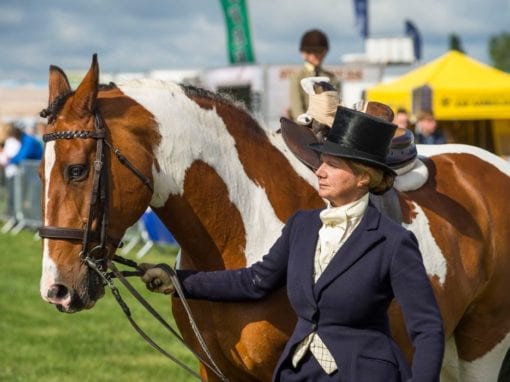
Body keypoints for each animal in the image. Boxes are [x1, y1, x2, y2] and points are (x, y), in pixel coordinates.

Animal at [38, 55, 510, 380]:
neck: (242, 227)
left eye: (77, 170)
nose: (56, 290)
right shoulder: (217, 372)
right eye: (41, 172)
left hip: (481, 346)